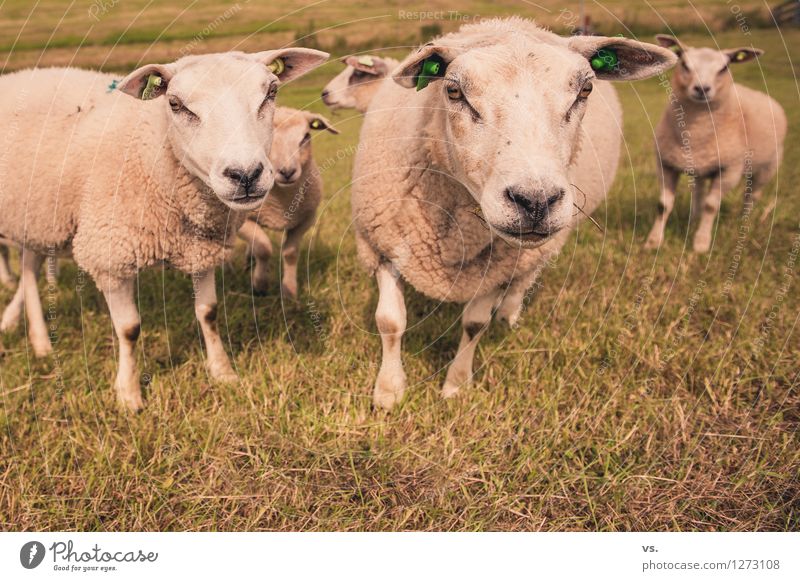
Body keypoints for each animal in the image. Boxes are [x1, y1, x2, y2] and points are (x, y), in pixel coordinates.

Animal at [0, 51, 328, 412]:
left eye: (271, 92)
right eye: (175, 104)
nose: (245, 175)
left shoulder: (201, 248)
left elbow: (209, 313)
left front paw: (222, 371)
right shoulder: (109, 254)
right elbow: (129, 329)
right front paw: (129, 394)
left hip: (39, 215)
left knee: (29, 268)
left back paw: (33, 336)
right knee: (29, 274)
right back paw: (40, 340)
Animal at [238, 104, 338, 296]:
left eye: (305, 137)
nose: (287, 171)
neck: (281, 204)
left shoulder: (305, 220)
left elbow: (290, 253)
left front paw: (289, 290)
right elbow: (263, 248)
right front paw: (260, 284)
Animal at [350, 17, 676, 408]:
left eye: (585, 90)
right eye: (454, 92)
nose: (535, 201)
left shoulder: (500, 266)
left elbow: (475, 324)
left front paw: (456, 386)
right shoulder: (380, 243)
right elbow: (390, 321)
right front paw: (388, 391)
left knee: (525, 278)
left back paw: (509, 313)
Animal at [644, 35, 788, 253]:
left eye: (723, 68)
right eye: (684, 64)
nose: (702, 89)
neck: (696, 131)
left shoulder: (730, 169)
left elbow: (711, 206)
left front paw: (701, 244)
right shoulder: (665, 163)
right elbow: (663, 205)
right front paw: (653, 242)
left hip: (769, 166)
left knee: (752, 195)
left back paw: (743, 220)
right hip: (700, 165)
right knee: (699, 190)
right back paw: (694, 219)